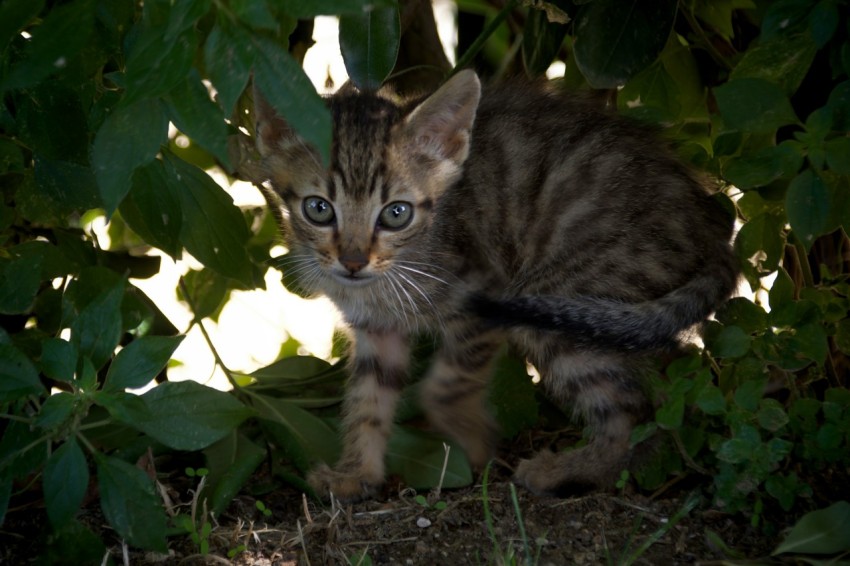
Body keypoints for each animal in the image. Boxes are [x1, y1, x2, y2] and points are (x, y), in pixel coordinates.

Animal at [252, 70, 736, 502]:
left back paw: (571, 471)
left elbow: (443, 389)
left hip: (555, 298)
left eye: (395, 213)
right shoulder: (377, 330)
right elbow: (368, 401)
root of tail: (712, 233)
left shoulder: (481, 296)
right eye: (318, 209)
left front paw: (475, 442)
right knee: (670, 370)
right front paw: (357, 475)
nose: (353, 262)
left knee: (633, 406)